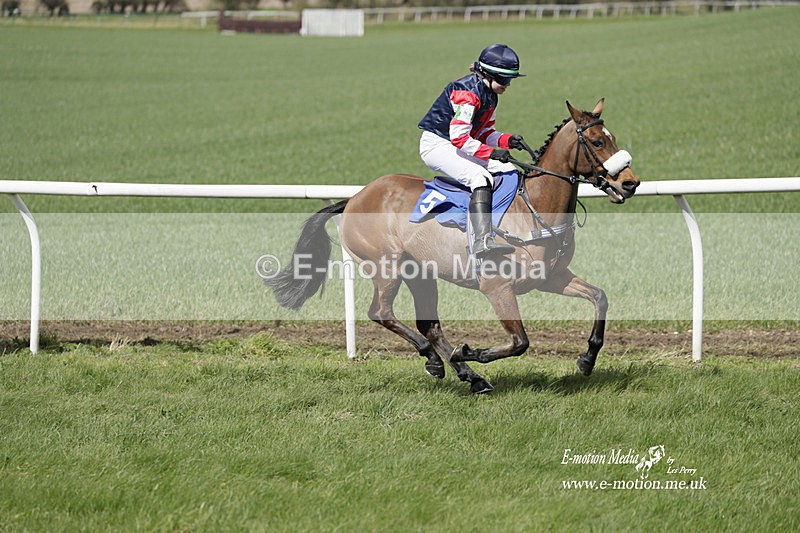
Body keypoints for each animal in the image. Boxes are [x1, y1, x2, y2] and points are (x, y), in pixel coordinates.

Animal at [266, 99, 640, 394]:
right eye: (596, 141)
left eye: (613, 138)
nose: (630, 183)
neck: (532, 208)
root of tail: (354, 198)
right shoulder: (497, 288)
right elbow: (520, 342)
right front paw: (470, 352)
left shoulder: (551, 277)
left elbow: (600, 298)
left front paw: (587, 359)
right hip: (386, 267)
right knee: (382, 312)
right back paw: (437, 360)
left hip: (419, 272)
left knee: (428, 324)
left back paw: (470, 376)